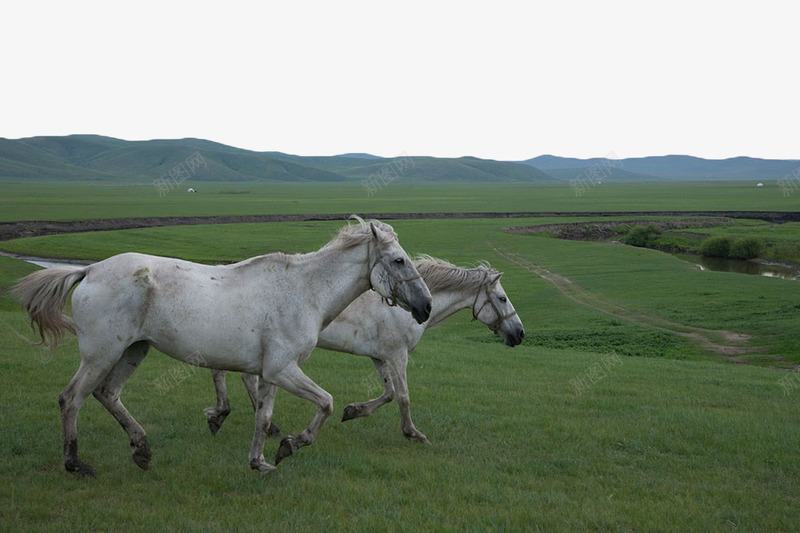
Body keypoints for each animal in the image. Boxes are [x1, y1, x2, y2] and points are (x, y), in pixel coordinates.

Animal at [12, 218, 434, 476]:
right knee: (72, 398)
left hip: (134, 351)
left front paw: (261, 461)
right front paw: (292, 445)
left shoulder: (270, 373)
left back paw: (142, 449)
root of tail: (90, 270)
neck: (304, 291)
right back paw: (76, 464)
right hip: (101, 354)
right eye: (399, 260)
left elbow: (263, 418)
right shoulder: (283, 369)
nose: (426, 306)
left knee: (107, 394)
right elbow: (327, 403)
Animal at [203, 254, 520, 440]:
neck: (405, 308)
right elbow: (403, 397)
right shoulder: (397, 356)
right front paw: (412, 433)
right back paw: (235, 418)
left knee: (232, 374)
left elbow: (388, 394)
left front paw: (353, 411)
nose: (519, 333)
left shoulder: (379, 358)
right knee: (235, 376)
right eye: (502, 299)